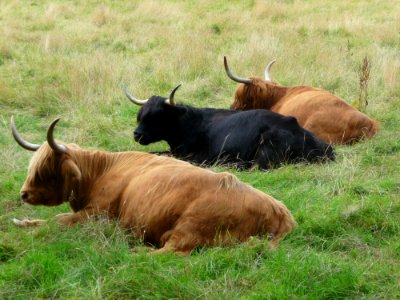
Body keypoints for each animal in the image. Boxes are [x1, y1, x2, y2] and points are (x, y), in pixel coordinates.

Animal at [10, 116, 296, 254]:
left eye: (46, 170)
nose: (24, 194)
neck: (99, 173)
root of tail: (280, 211)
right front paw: (22, 222)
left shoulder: (97, 215)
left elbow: (58, 220)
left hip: (191, 227)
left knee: (171, 253)